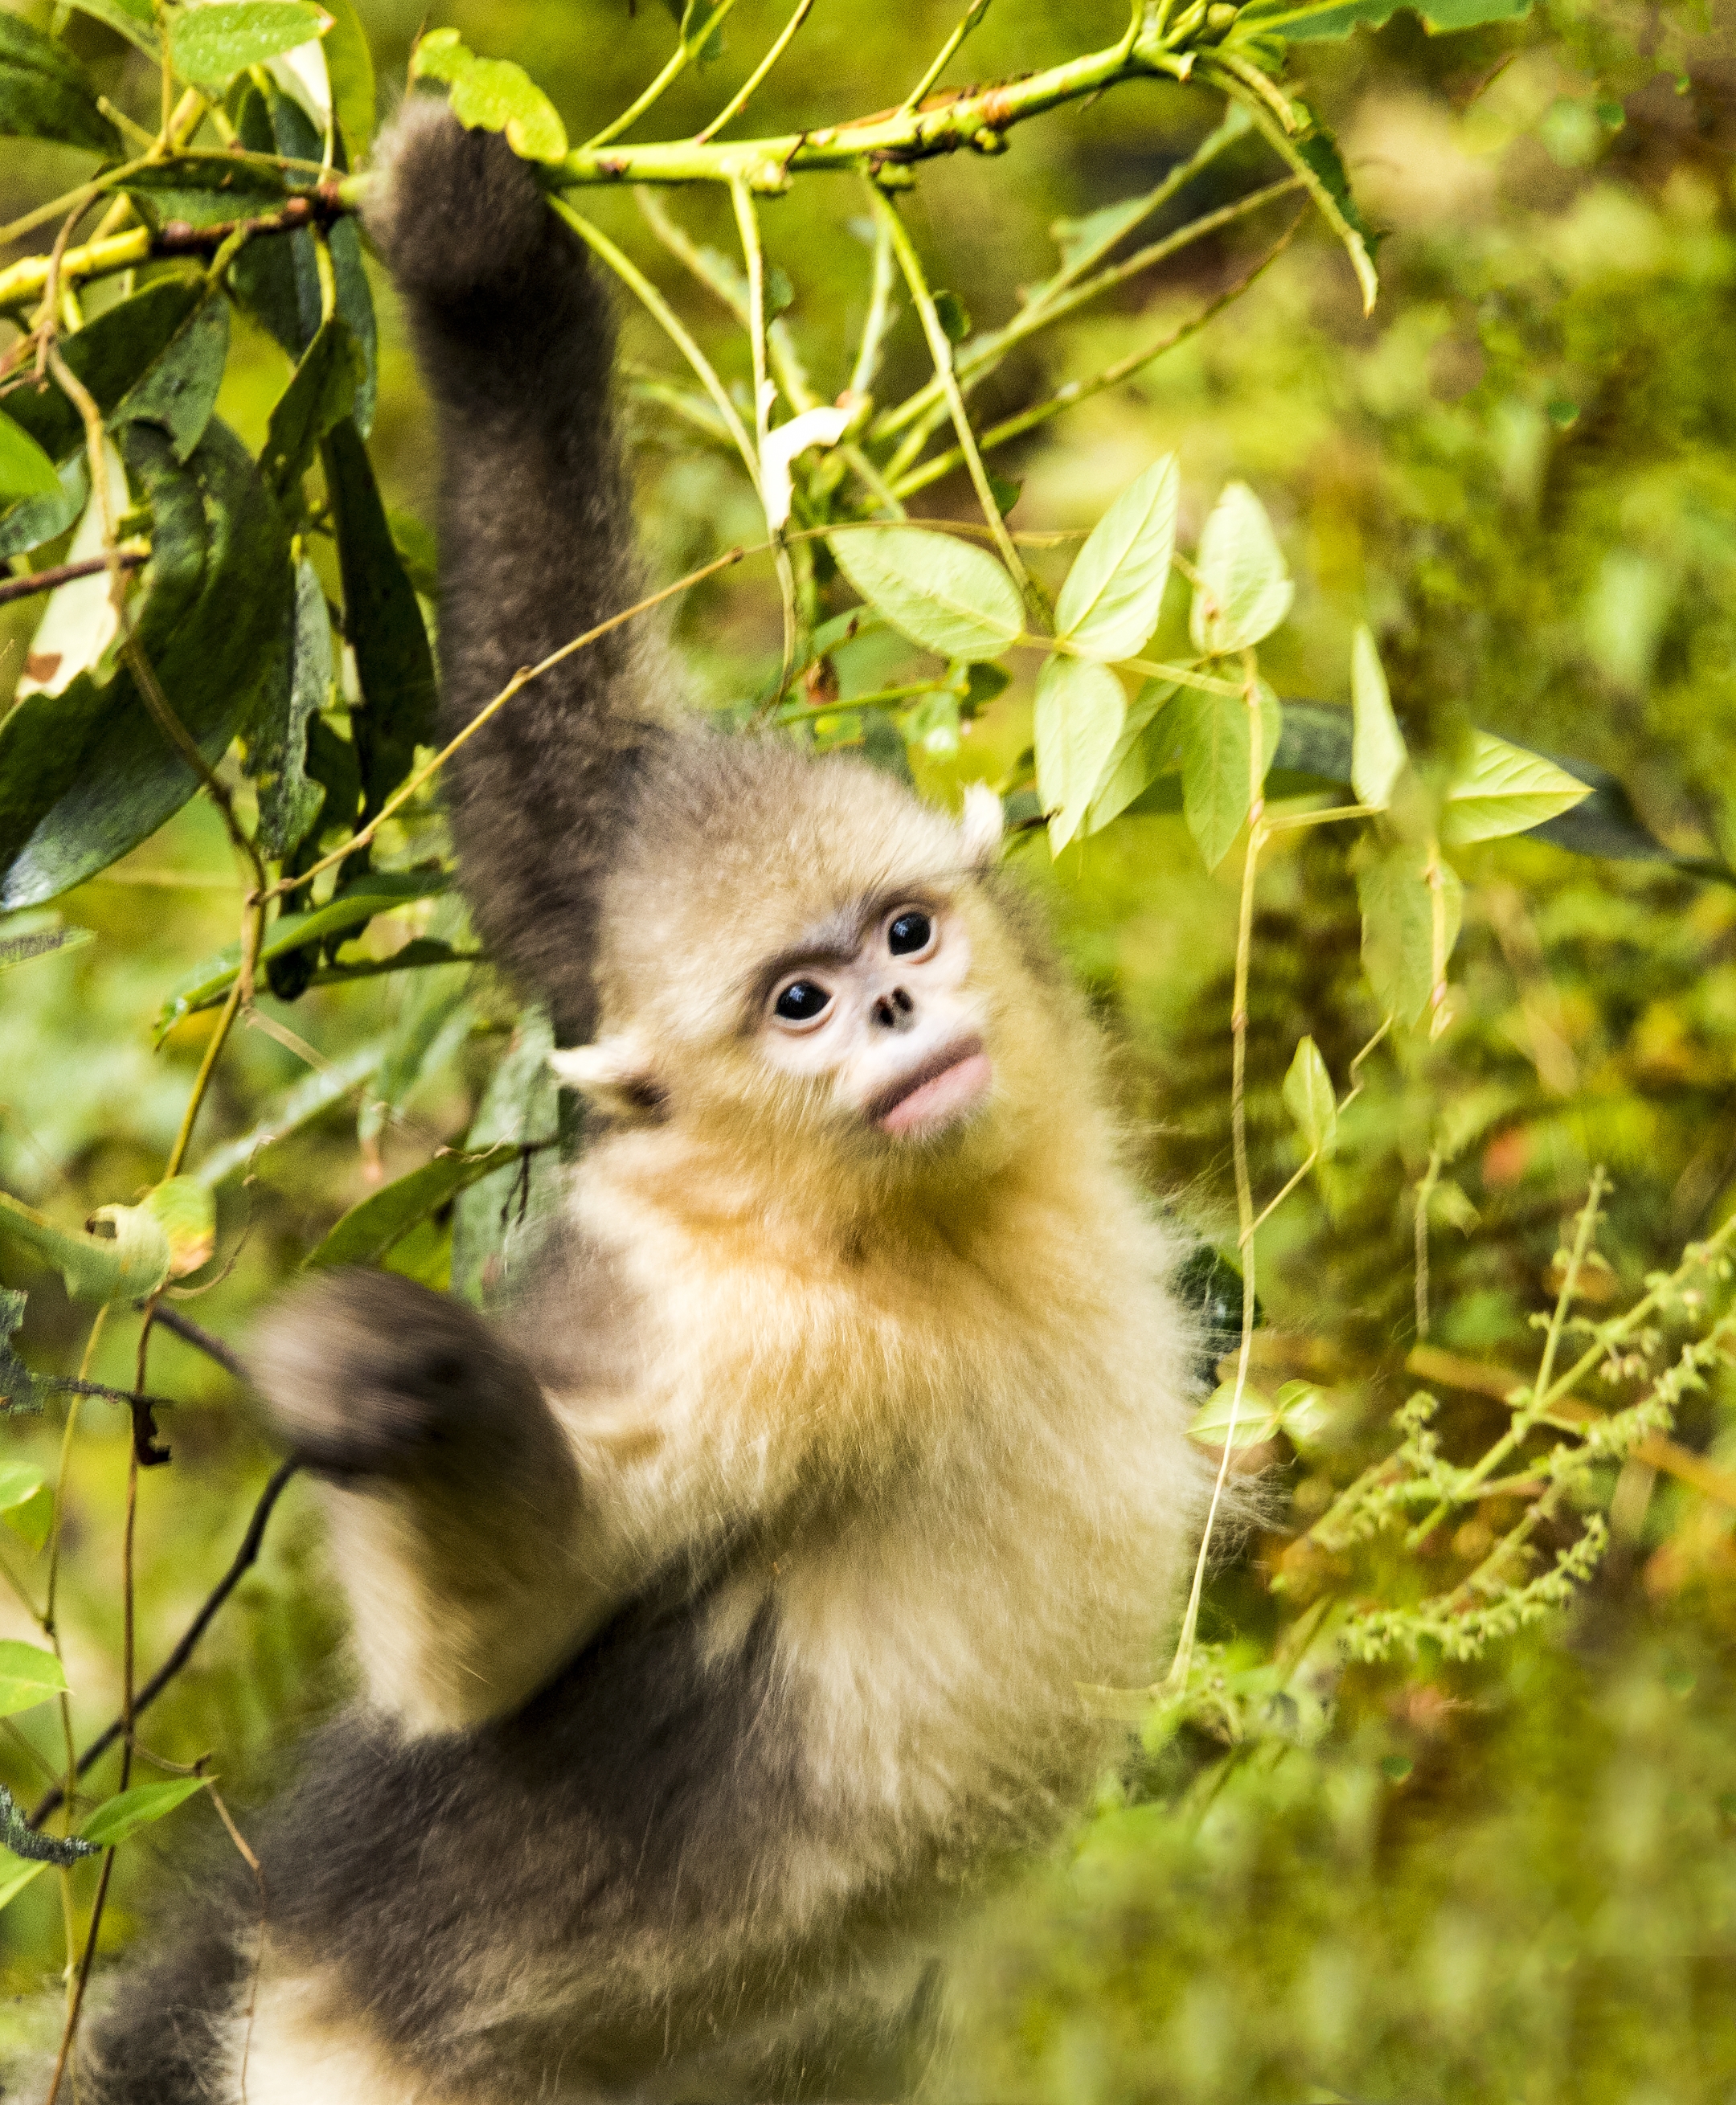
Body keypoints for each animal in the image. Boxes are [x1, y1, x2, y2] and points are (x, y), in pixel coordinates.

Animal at [84, 90, 1203, 2105]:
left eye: (905, 929)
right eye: (800, 1004)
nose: (898, 1007)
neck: (905, 1247)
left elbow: (567, 792)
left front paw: (481, 272)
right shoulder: (712, 1320)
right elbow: (491, 1647)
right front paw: (387, 1378)